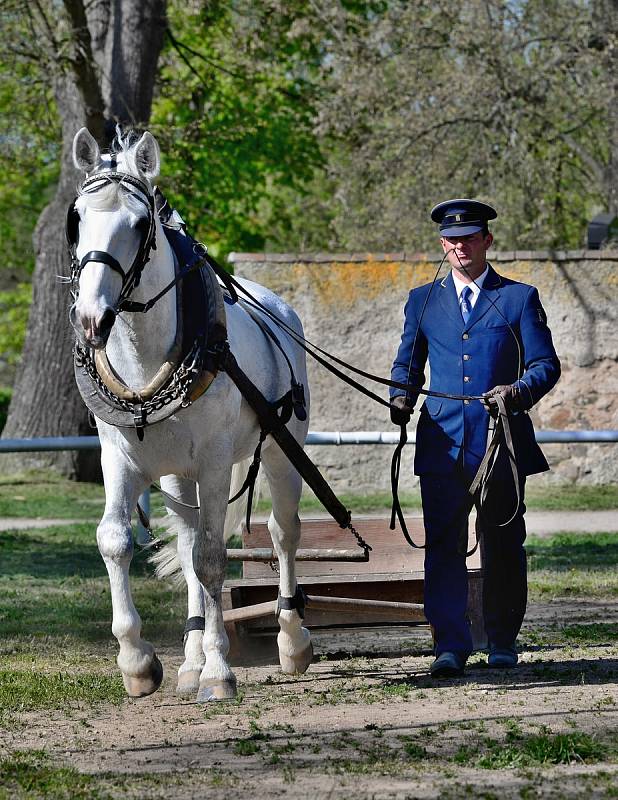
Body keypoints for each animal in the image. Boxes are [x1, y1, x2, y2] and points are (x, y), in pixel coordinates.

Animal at [68, 125, 312, 700]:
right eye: (78, 218)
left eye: (140, 224)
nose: (91, 318)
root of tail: (279, 308)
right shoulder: (119, 460)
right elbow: (118, 541)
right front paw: (138, 661)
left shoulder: (216, 464)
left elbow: (212, 558)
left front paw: (221, 671)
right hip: (178, 476)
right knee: (187, 541)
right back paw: (192, 659)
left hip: (280, 451)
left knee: (282, 533)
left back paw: (291, 641)